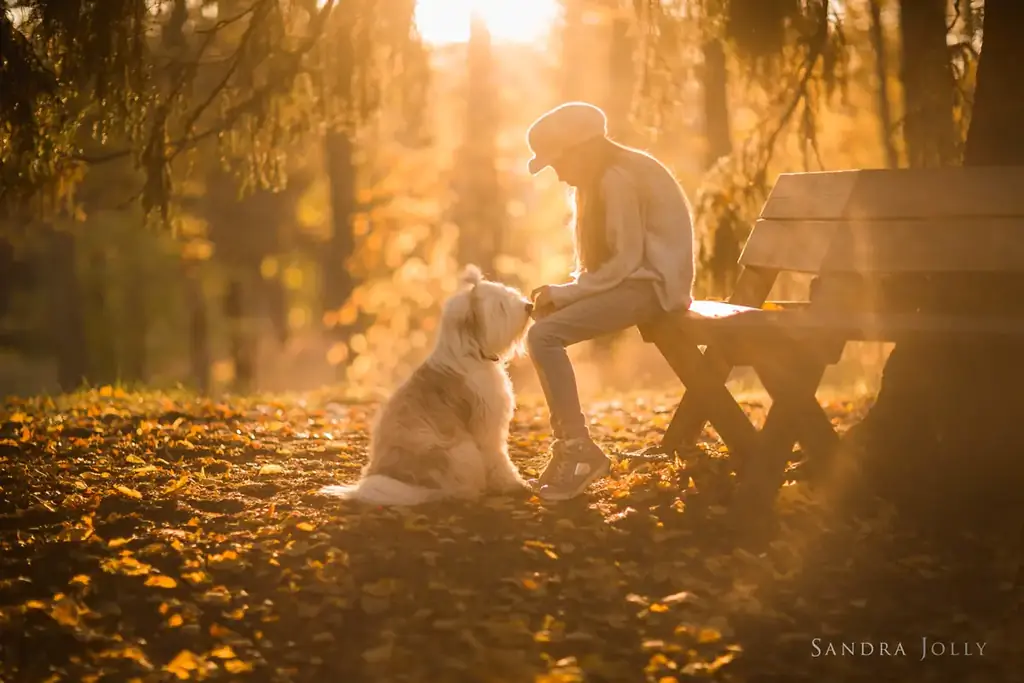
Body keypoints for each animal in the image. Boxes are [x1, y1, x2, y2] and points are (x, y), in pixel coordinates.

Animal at [319, 266, 536, 507]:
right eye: (500, 306)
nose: (529, 306)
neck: (471, 352)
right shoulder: (487, 427)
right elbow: (498, 457)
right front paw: (514, 484)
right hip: (461, 451)